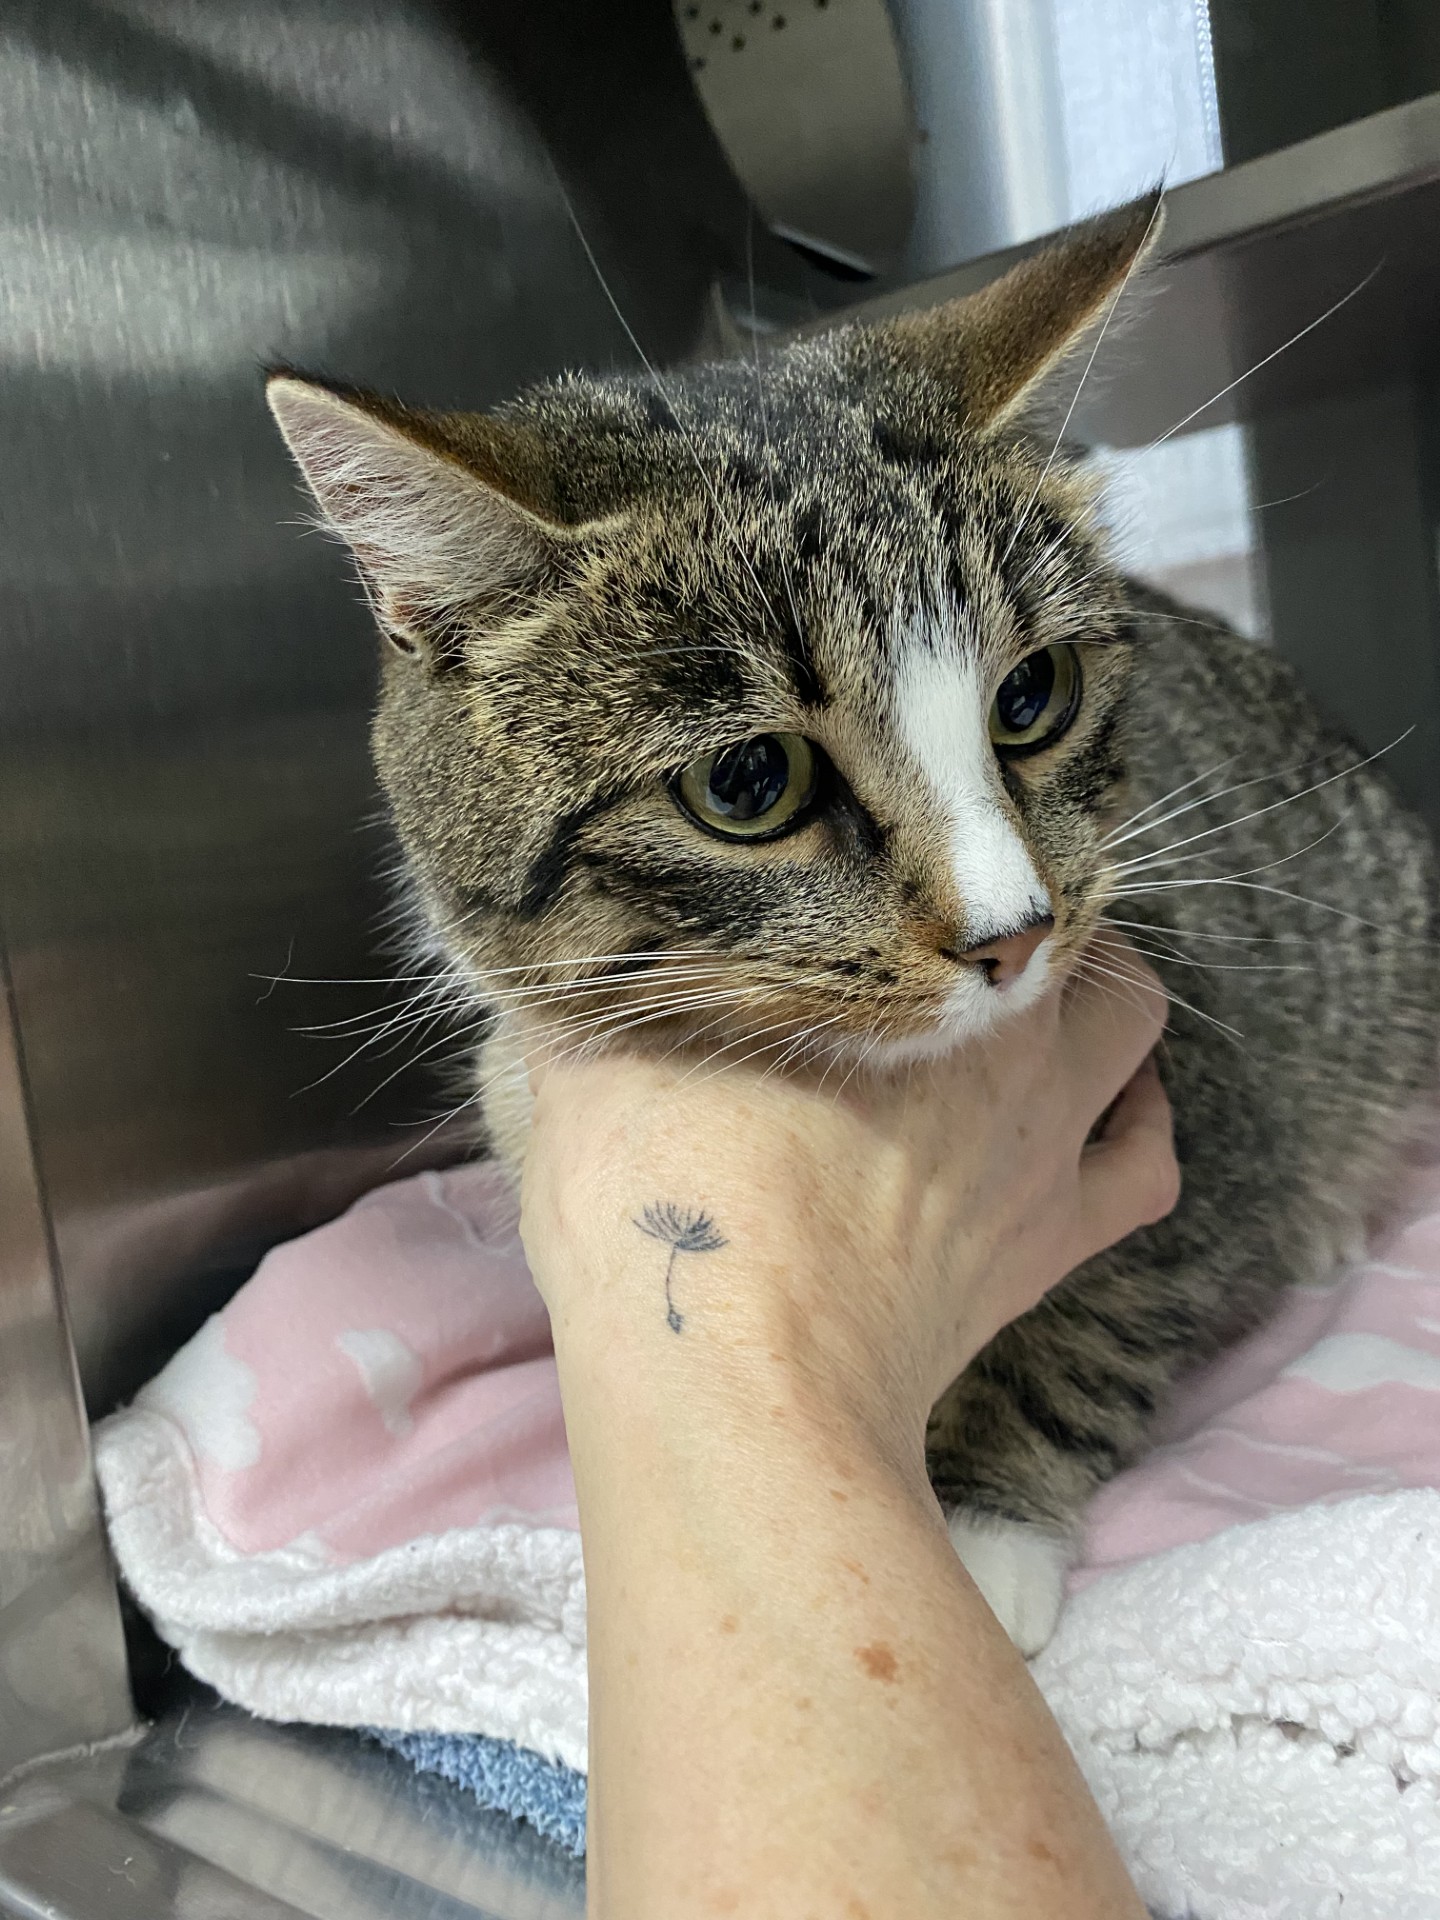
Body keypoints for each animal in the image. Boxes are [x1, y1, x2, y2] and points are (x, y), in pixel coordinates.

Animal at [267, 194, 1439, 1654]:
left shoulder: (1204, 1082)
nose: (1015, 930)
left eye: (1033, 695)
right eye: (748, 782)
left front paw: (985, 1520)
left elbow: (1106, 1307)